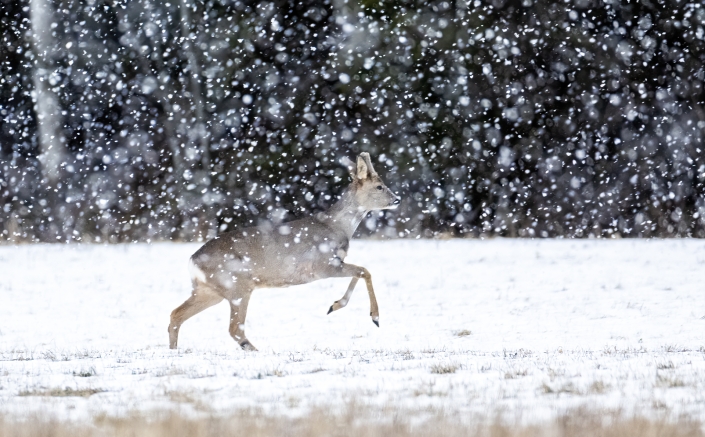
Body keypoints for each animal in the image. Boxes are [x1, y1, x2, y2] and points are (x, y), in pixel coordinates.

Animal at [169, 152, 402, 350]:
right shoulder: (323, 265)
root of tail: (192, 261)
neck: (337, 226)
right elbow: (364, 271)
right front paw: (375, 317)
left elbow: (360, 272)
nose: (397, 199)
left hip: (209, 290)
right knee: (234, 328)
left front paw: (334, 305)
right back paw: (257, 351)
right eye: (379, 186)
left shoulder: (334, 264)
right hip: (237, 286)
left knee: (175, 315)